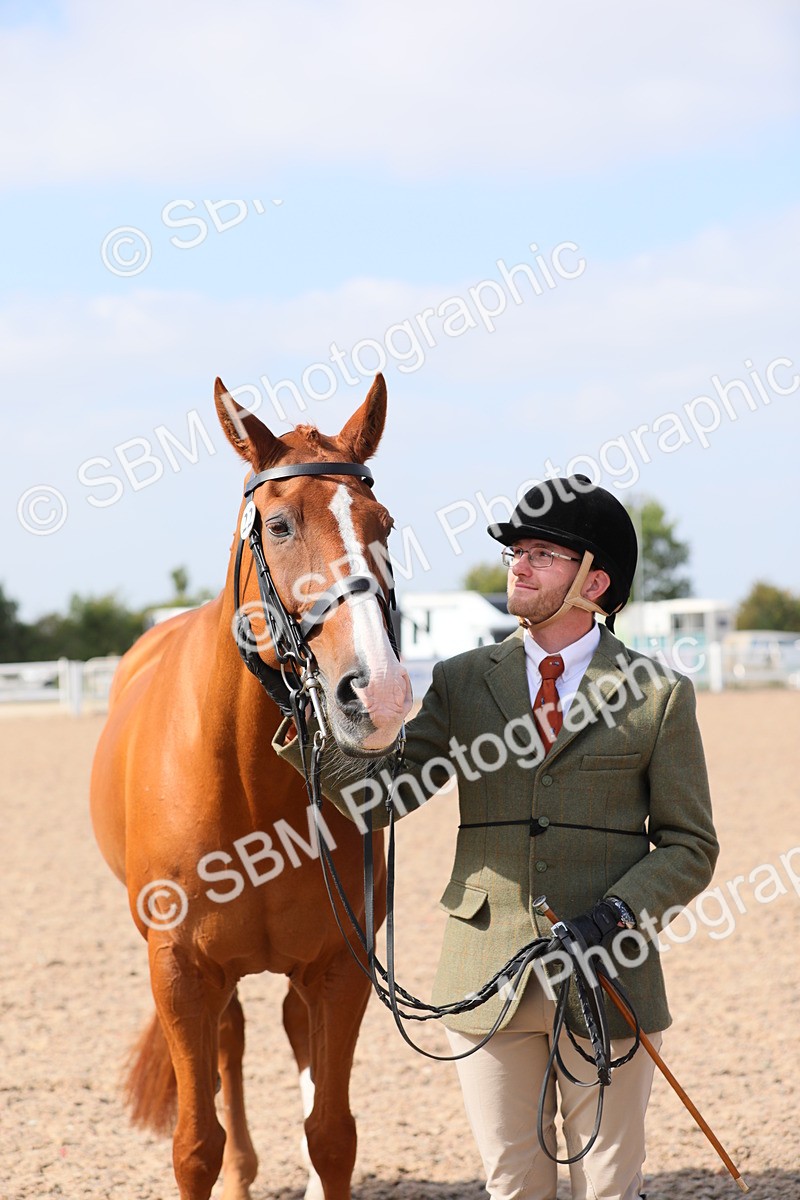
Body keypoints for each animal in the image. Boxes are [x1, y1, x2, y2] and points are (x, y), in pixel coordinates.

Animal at [90, 373, 413, 1200]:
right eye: (278, 524)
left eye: (384, 524)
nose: (377, 691)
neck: (247, 788)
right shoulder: (181, 970)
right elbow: (195, 1145)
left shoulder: (339, 965)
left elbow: (331, 1135)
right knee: (230, 1044)